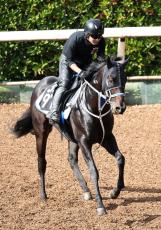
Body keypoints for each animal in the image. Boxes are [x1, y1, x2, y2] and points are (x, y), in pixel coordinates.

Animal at [11, 56, 128, 215]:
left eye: (125, 79)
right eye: (111, 78)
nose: (119, 108)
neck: (93, 107)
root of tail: (40, 84)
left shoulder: (107, 138)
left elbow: (120, 159)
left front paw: (114, 192)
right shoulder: (84, 142)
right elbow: (93, 171)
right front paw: (100, 206)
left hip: (72, 138)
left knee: (71, 159)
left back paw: (86, 190)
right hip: (41, 132)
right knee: (41, 161)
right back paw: (43, 195)